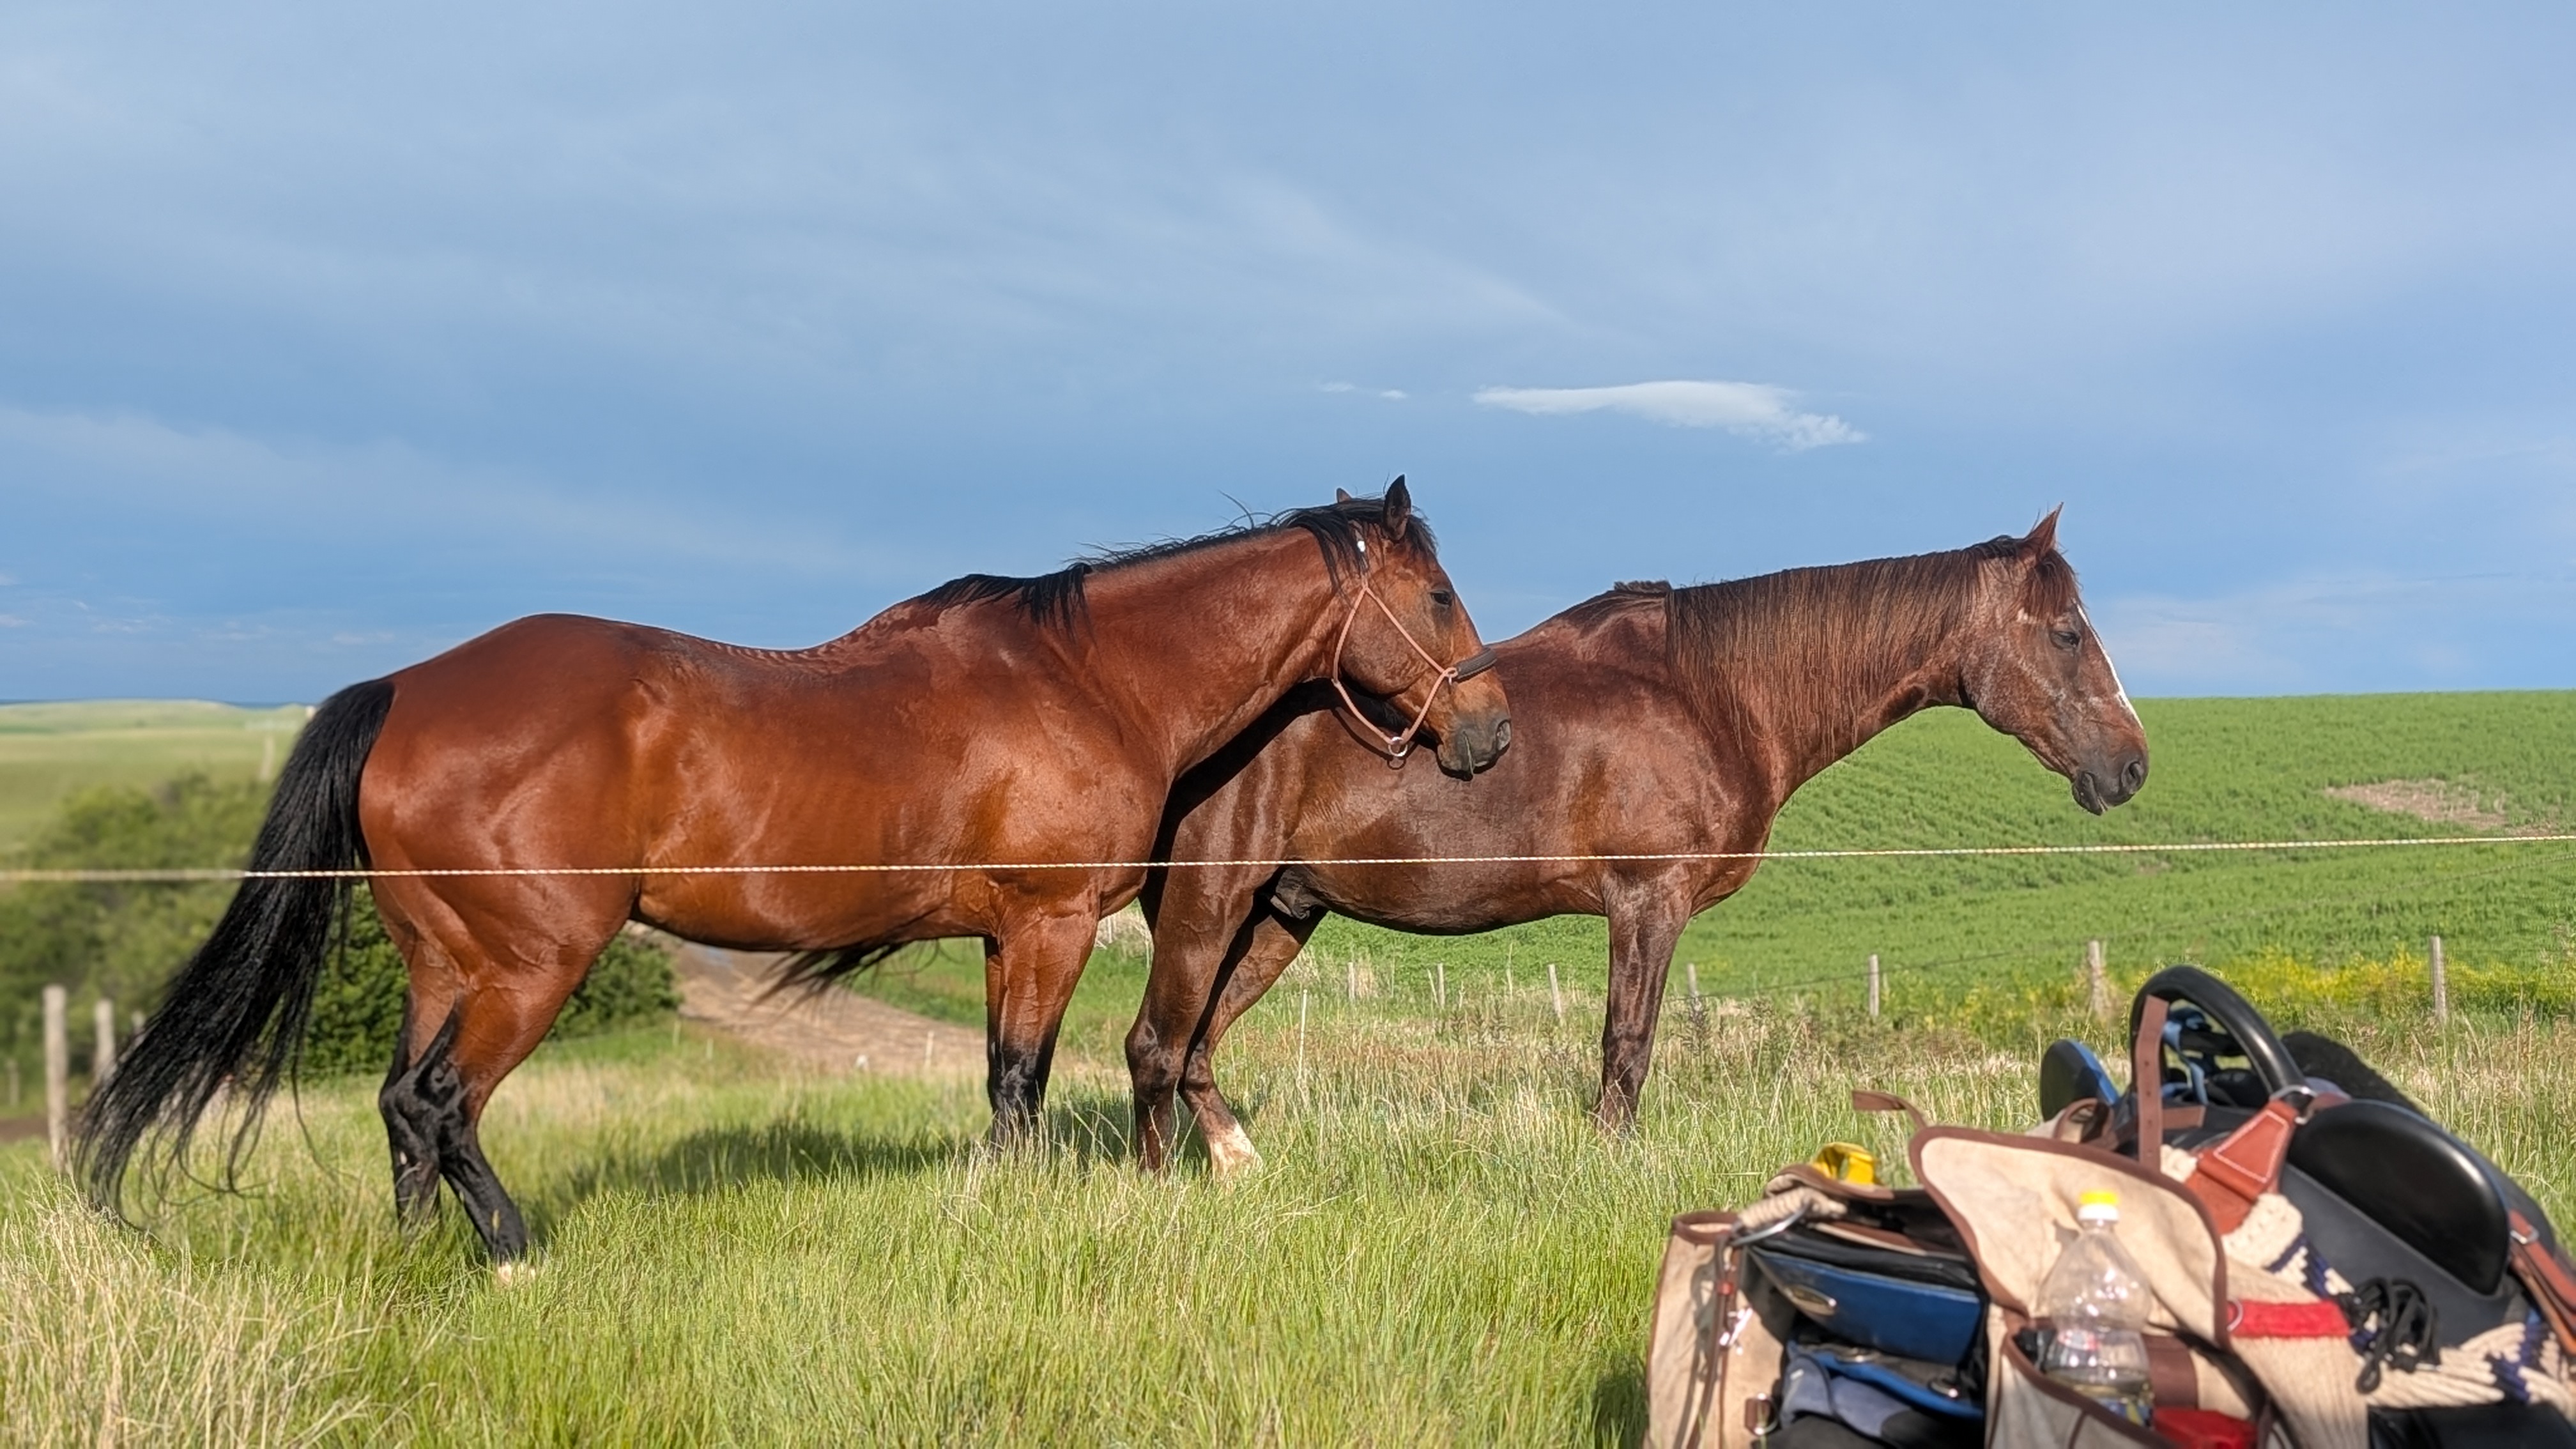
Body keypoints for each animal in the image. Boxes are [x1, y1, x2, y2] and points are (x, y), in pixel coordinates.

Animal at [80, 480, 1511, 1263]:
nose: (1491, 731)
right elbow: (1020, 1086)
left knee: (397, 1109)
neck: (1088, 679)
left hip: (446, 959)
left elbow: (1003, 1084)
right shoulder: (1048, 925)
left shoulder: (1003, 937)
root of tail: (407, 690)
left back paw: (423, 1259)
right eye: (1441, 597)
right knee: (442, 1103)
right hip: (533, 964)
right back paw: (518, 1258)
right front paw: (1005, 1215)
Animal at [1128, 510, 2147, 1172]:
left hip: (1279, 914)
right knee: (1157, 1044)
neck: (1710, 692)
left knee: (1198, 1047)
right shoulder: (1648, 902)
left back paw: (1236, 1162)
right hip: (1209, 903)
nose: (2132, 765)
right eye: (2067, 633)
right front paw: (1611, 1167)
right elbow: (1628, 1046)